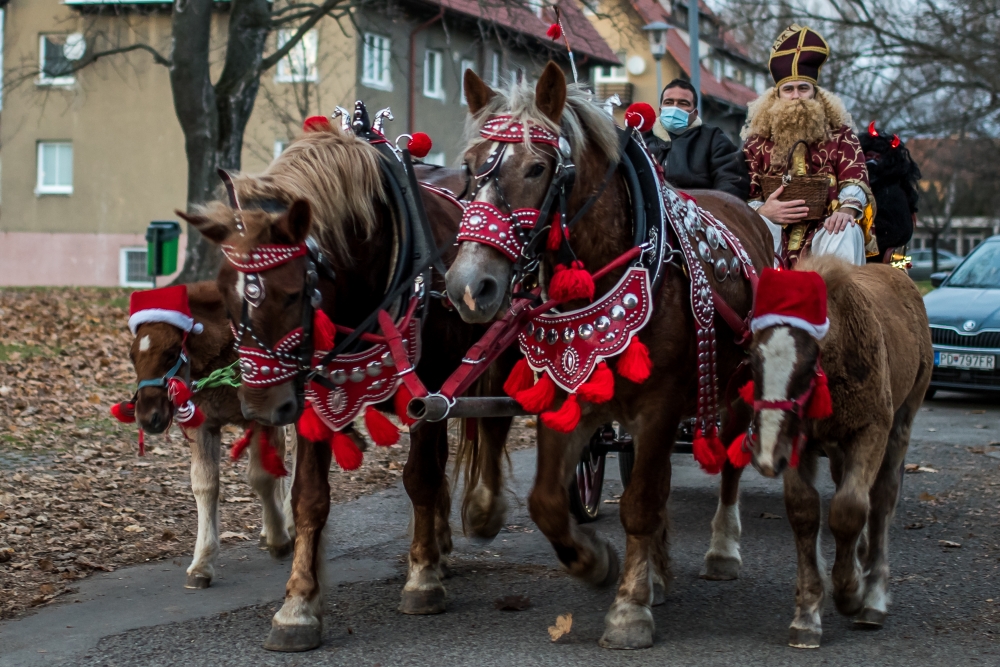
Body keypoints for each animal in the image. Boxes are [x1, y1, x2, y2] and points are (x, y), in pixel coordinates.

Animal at [124, 280, 290, 588]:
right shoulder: (203, 424)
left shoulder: (262, 418)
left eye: (171, 352)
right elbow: (205, 485)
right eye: (132, 356)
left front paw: (279, 539)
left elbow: (261, 476)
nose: (148, 417)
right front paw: (202, 563)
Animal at [181, 125, 520, 652]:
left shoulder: (428, 392)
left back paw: (477, 516)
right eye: (224, 292)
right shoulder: (313, 399)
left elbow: (421, 478)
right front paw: (298, 606)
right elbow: (309, 497)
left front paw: (422, 581)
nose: (259, 406)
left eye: (293, 293)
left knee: (493, 425)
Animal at [446, 65, 772, 648]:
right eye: (469, 164)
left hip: (734, 386)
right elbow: (548, 502)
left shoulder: (661, 405)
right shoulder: (566, 394)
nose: (469, 286)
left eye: (537, 167)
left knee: (729, 466)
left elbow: (641, 505)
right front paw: (597, 563)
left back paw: (721, 550)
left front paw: (628, 611)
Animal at [732, 258, 932, 648]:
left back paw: (873, 597)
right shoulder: (800, 444)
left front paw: (850, 592)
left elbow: (850, 509)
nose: (765, 456)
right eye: (752, 358)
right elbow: (805, 512)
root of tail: (896, 271)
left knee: (882, 500)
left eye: (811, 363)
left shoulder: (871, 429)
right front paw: (808, 614)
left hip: (902, 420)